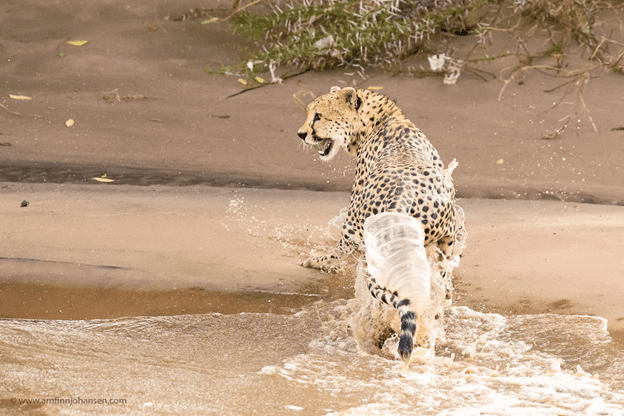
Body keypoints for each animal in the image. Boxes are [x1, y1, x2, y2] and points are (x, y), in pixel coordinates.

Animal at [298, 86, 468, 362]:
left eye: (319, 116)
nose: (301, 134)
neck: (383, 119)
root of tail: (403, 196)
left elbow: (337, 252)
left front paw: (316, 260)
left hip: (357, 230)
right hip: (444, 238)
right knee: (439, 283)